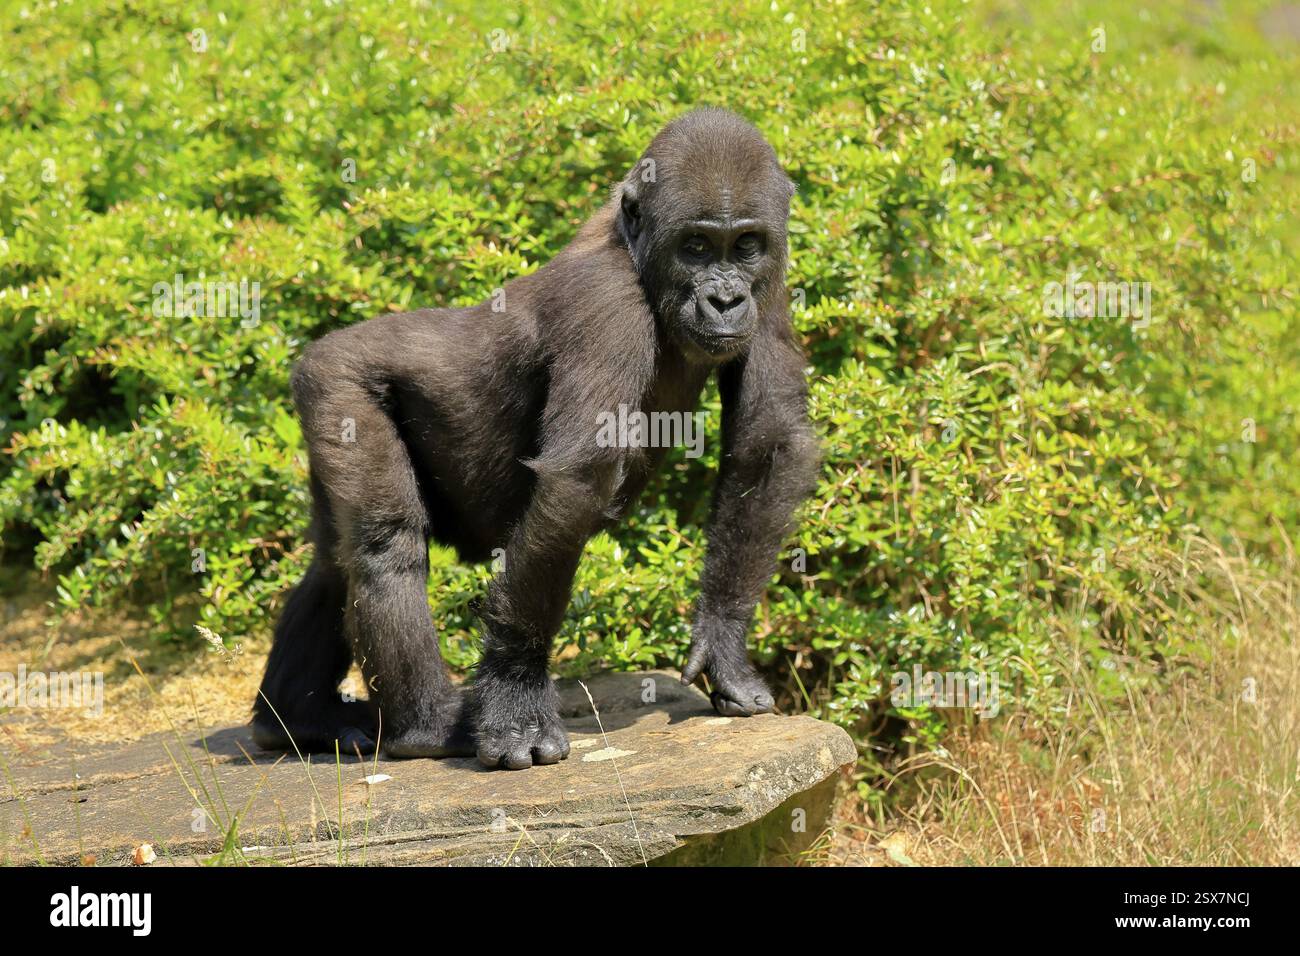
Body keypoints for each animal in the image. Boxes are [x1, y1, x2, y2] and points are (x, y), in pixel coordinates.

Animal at [252, 107, 819, 770]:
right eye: (697, 247)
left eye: (746, 246)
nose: (727, 298)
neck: (637, 253)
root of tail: (315, 353)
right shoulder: (607, 307)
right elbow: (577, 483)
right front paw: (516, 702)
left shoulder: (773, 278)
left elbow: (768, 442)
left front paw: (725, 641)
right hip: (338, 384)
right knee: (384, 544)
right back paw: (425, 726)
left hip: (321, 400)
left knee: (331, 561)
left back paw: (296, 720)